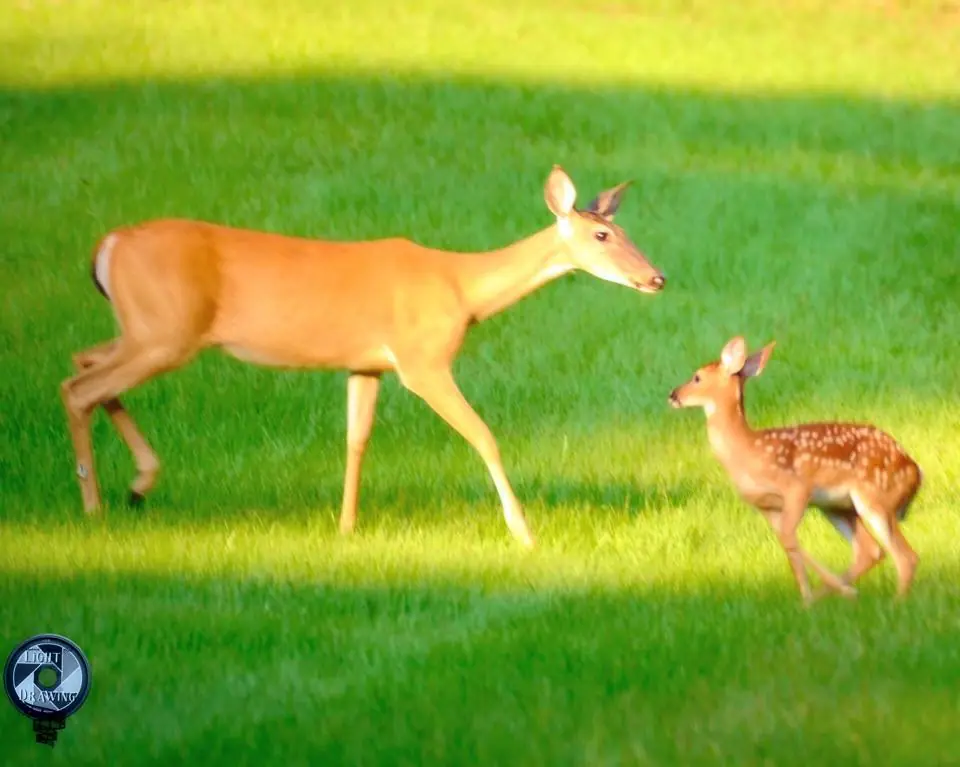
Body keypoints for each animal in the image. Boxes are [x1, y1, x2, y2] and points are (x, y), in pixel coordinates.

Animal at [61, 165, 667, 548]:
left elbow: (356, 439)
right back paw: (94, 507)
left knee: (82, 363)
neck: (462, 290)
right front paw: (523, 532)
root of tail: (105, 247)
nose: (657, 277)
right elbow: (483, 435)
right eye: (602, 235)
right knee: (78, 388)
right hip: (164, 331)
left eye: (623, 229)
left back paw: (137, 485)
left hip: (144, 329)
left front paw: (346, 526)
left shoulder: (367, 363)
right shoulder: (422, 361)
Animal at [668, 336, 922, 605]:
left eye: (697, 377)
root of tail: (916, 472)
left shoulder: (797, 487)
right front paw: (811, 599)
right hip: (836, 507)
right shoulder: (765, 506)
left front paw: (822, 596)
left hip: (875, 496)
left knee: (906, 556)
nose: (673, 395)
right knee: (870, 551)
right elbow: (787, 543)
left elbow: (789, 538)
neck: (747, 451)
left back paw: (892, 602)